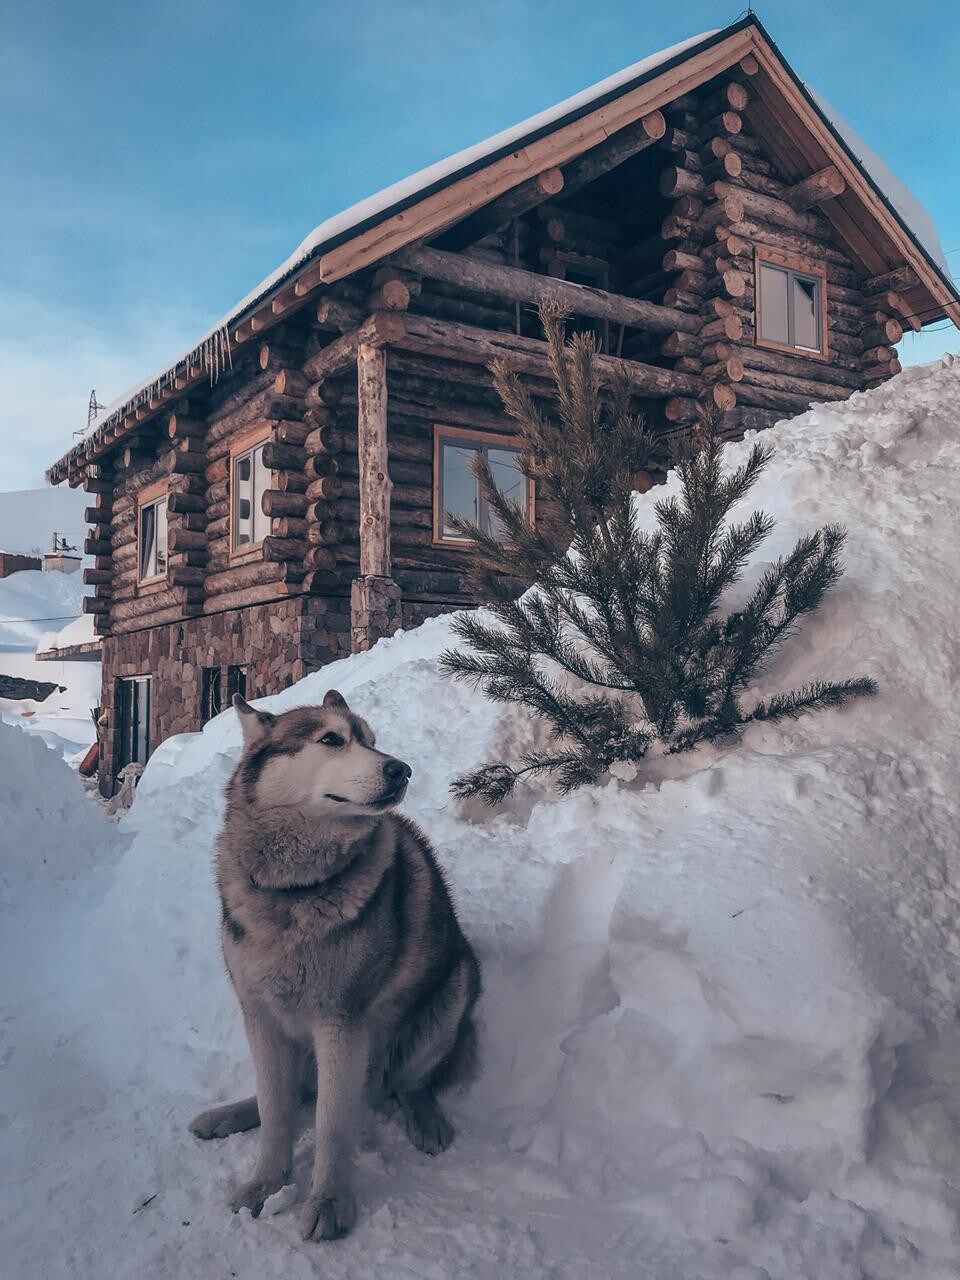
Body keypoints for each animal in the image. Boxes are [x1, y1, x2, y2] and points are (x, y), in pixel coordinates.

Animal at [189, 691, 481, 1239]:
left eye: (372, 738)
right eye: (331, 739)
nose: (401, 768)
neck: (297, 890)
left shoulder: (341, 1025)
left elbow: (330, 1123)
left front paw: (327, 1201)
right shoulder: (259, 1014)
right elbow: (276, 1110)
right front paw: (266, 1184)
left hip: (451, 995)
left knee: (409, 1084)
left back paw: (425, 1119)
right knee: (292, 1092)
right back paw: (226, 1116)